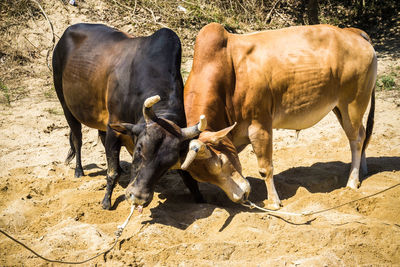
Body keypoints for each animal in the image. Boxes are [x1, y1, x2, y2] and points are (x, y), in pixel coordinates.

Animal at [52, 24, 205, 210]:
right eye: (139, 149)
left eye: (169, 162)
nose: (138, 197)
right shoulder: (114, 129)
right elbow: (112, 172)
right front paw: (106, 202)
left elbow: (189, 178)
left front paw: (201, 199)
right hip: (66, 105)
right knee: (77, 139)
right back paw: (79, 170)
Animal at [180, 23, 376, 209]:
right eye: (202, 178)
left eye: (221, 161)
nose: (242, 196)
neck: (228, 72)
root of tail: (352, 32)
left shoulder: (260, 126)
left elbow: (265, 168)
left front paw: (274, 202)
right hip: (340, 108)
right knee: (362, 134)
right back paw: (363, 171)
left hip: (353, 105)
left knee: (356, 140)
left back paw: (352, 181)